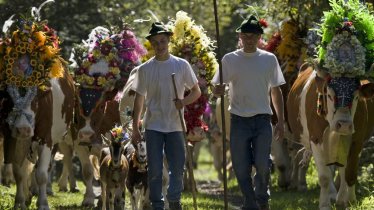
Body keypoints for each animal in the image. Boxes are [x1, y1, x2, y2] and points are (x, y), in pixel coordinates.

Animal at [286, 65, 374, 208]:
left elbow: (349, 173)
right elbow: (324, 176)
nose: (343, 125)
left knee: (342, 170)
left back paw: (340, 198)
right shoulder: (316, 139)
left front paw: (350, 201)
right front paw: (324, 204)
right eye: (329, 95)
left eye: (356, 97)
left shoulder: (357, 140)